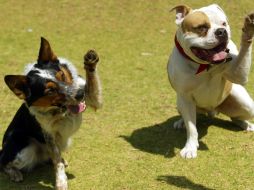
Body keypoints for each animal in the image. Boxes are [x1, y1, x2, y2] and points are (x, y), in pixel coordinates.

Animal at [0, 37, 101, 190]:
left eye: (63, 75)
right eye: (50, 91)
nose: (80, 95)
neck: (62, 111)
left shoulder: (93, 99)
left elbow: (92, 83)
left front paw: (90, 62)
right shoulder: (49, 135)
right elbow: (57, 161)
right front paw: (61, 181)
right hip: (24, 149)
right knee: (4, 163)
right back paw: (14, 173)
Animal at [169, 4, 254, 159]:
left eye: (224, 24)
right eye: (201, 27)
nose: (221, 31)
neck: (205, 66)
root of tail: (213, 111)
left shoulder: (238, 73)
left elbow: (243, 54)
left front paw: (248, 31)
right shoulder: (185, 97)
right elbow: (192, 128)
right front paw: (190, 147)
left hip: (247, 104)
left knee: (236, 117)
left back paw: (246, 124)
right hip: (180, 103)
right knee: (187, 115)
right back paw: (181, 122)